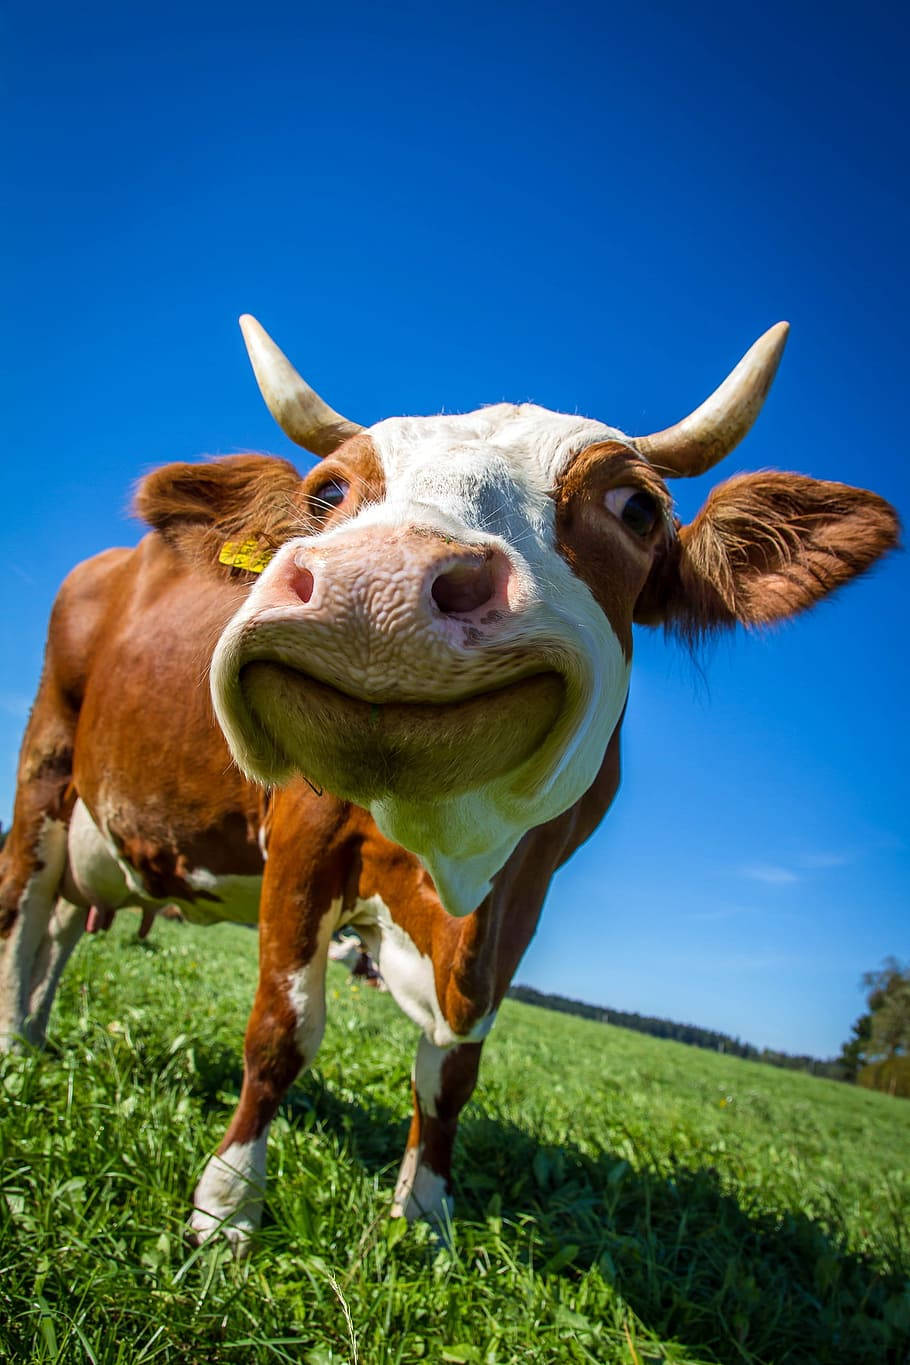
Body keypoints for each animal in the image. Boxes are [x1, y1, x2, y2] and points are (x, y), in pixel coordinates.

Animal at [0, 313, 894, 1250]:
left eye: (637, 508)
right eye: (327, 493)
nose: (375, 583)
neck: (448, 852)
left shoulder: (525, 890)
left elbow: (454, 1067)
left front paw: (425, 1213)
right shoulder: (303, 837)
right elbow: (283, 1029)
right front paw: (227, 1205)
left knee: (62, 923)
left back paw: (37, 1030)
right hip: (45, 764)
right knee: (24, 904)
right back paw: (16, 1050)